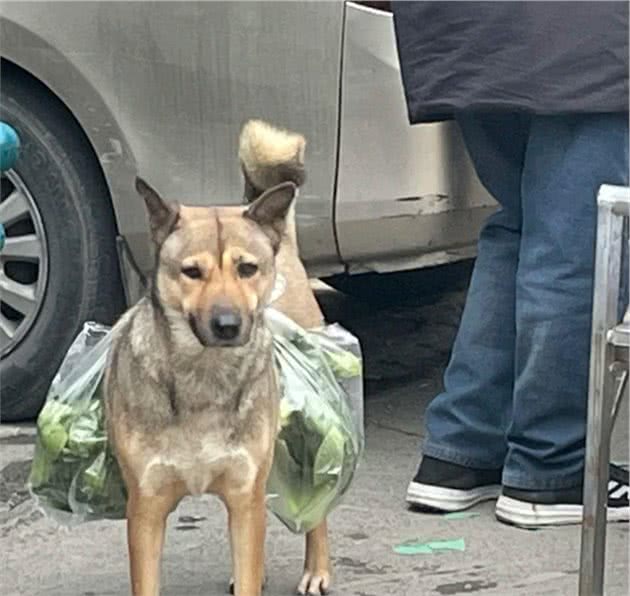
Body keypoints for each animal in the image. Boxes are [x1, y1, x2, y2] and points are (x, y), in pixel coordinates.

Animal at [105, 122, 330, 596]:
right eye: (192, 272)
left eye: (247, 268)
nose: (228, 324)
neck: (203, 376)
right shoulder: (145, 508)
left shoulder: (245, 492)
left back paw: (317, 569)